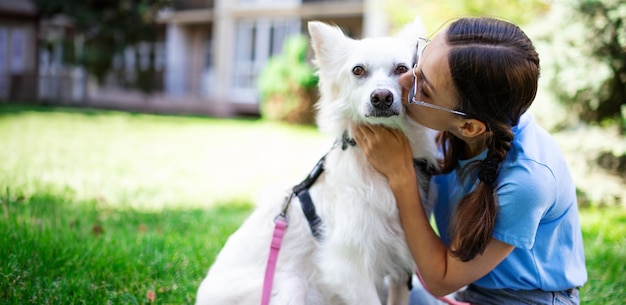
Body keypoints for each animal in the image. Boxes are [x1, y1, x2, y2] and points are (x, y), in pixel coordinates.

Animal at [195, 19, 434, 304]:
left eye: (401, 69)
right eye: (358, 70)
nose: (382, 97)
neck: (377, 169)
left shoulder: (400, 264)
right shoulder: (347, 266)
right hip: (293, 286)